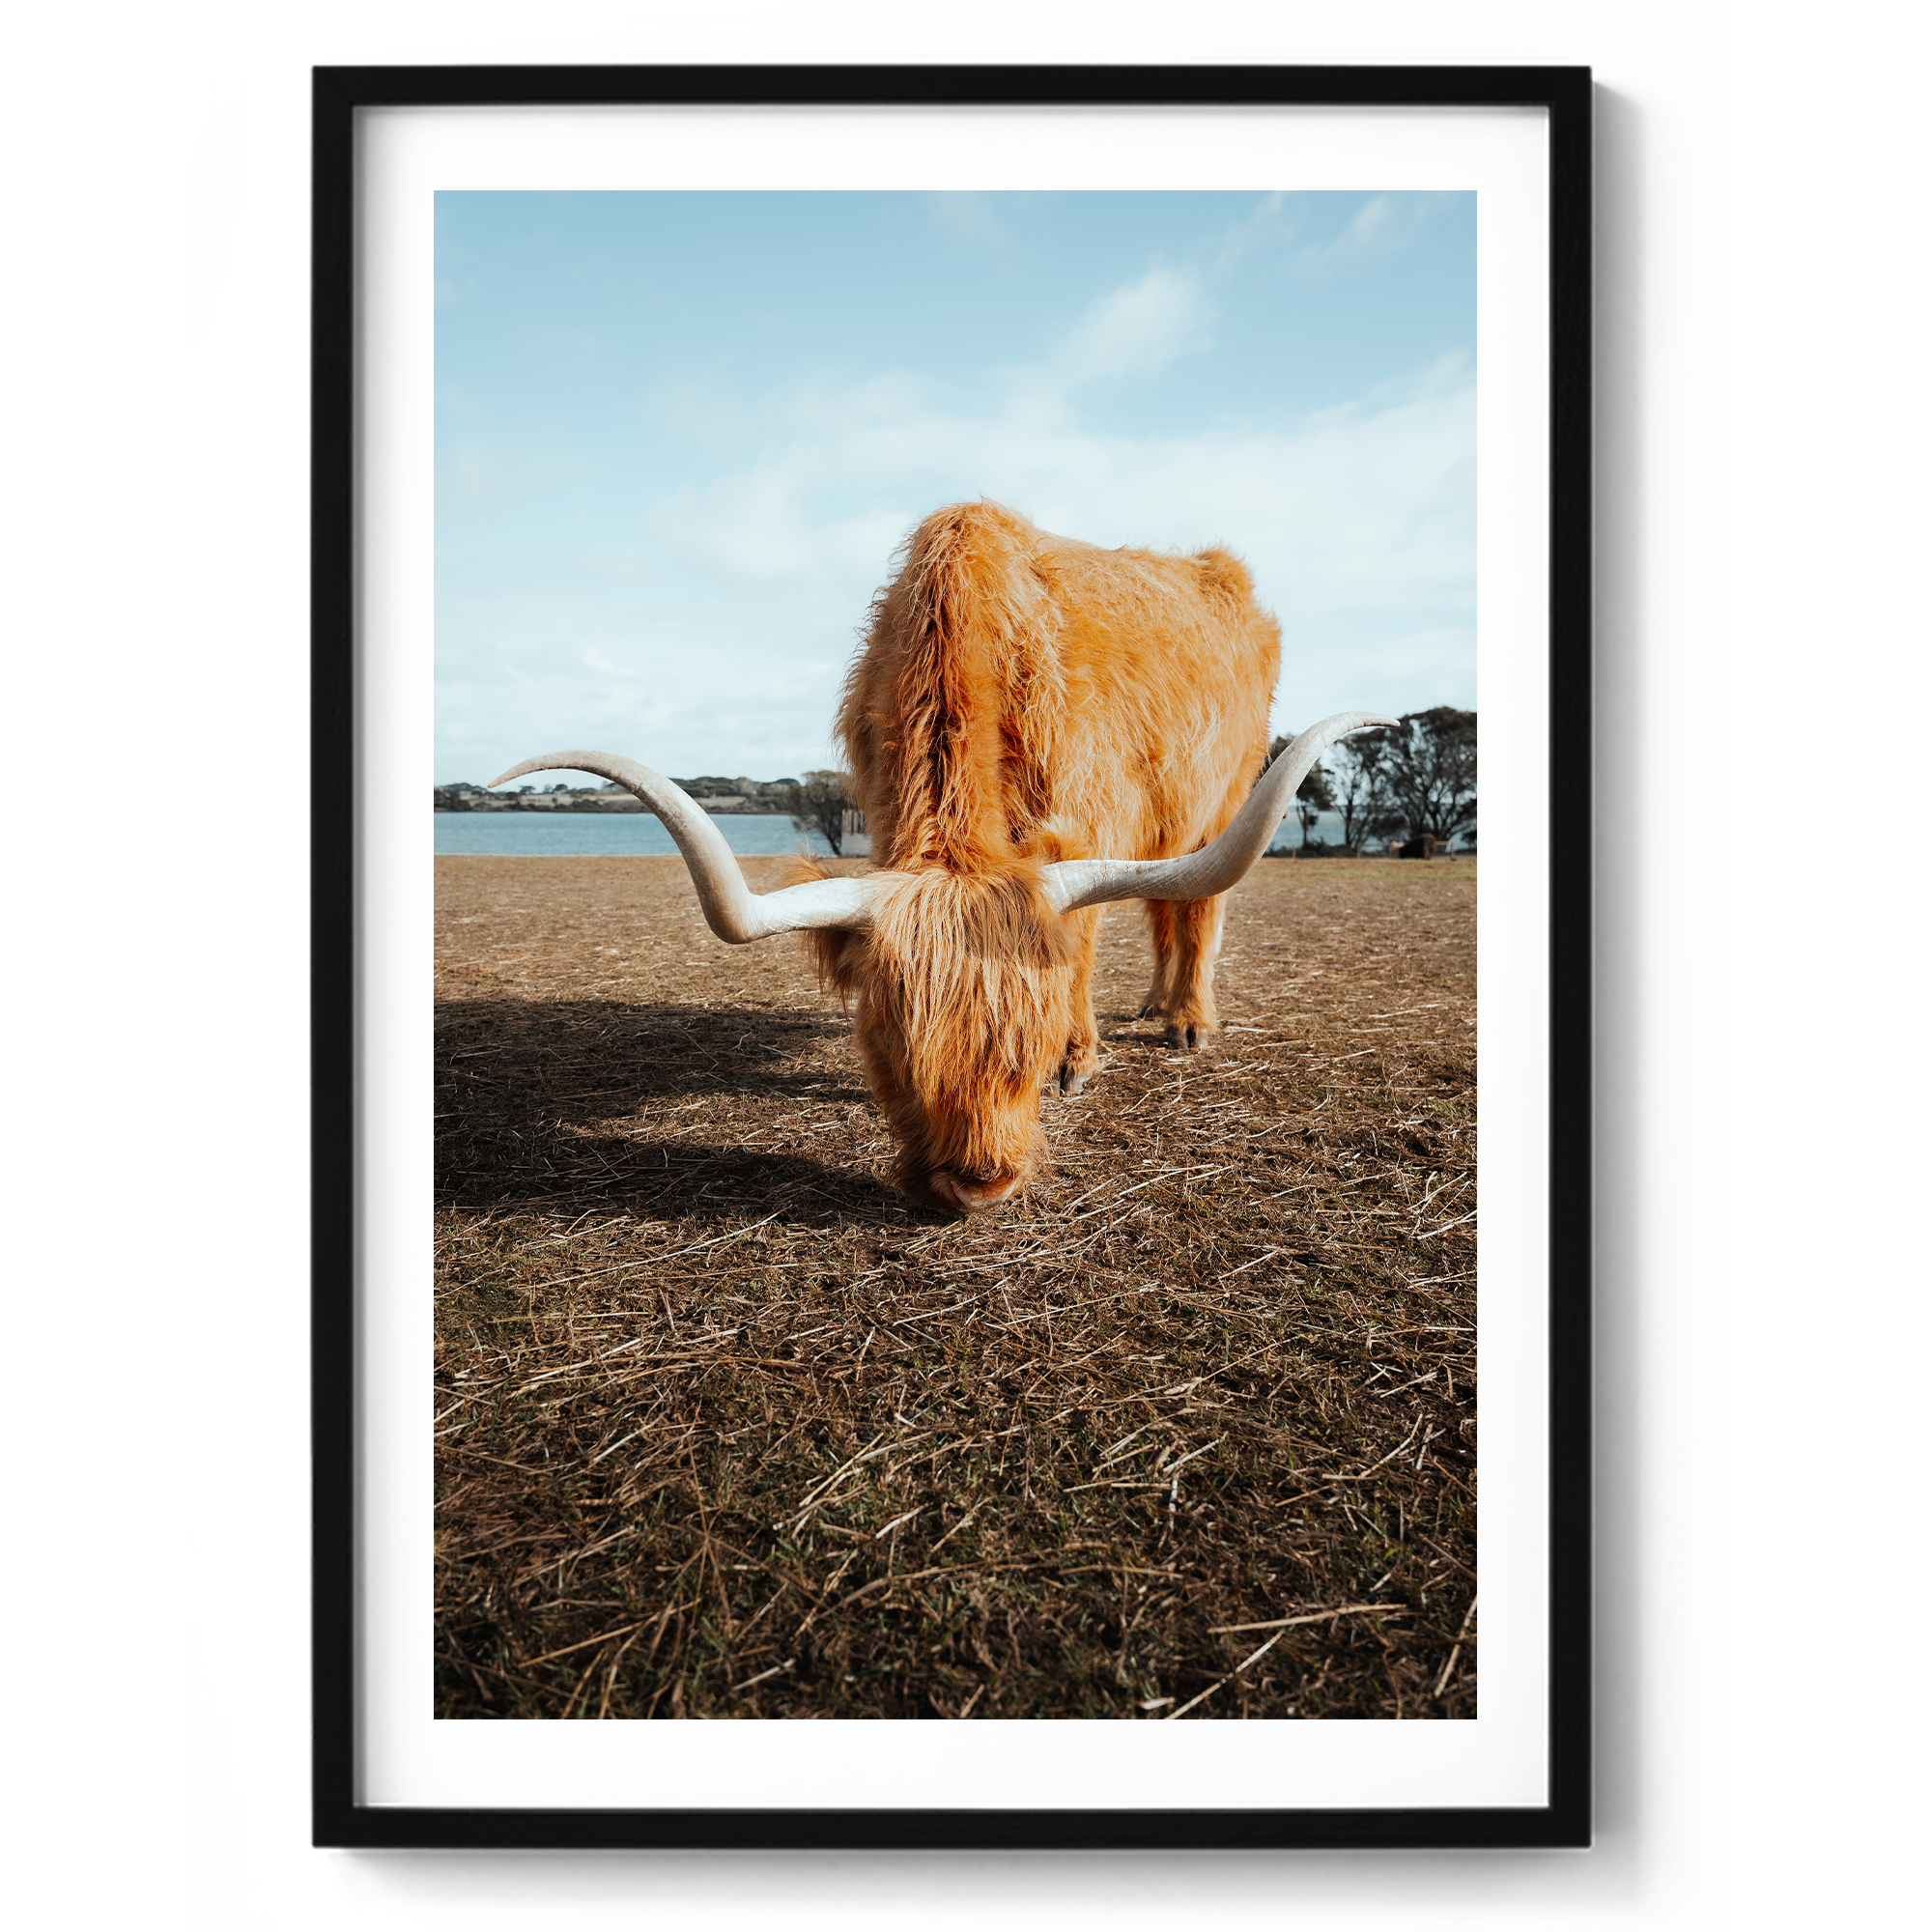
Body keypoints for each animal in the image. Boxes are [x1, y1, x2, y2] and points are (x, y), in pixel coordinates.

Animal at [491, 500, 1394, 1215]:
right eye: (891, 1046)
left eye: (1030, 1048)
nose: (979, 1185)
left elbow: (1082, 953)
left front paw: (1079, 1061)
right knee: (1167, 910)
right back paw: (1153, 1006)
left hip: (1227, 798)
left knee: (1199, 908)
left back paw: (1186, 1023)